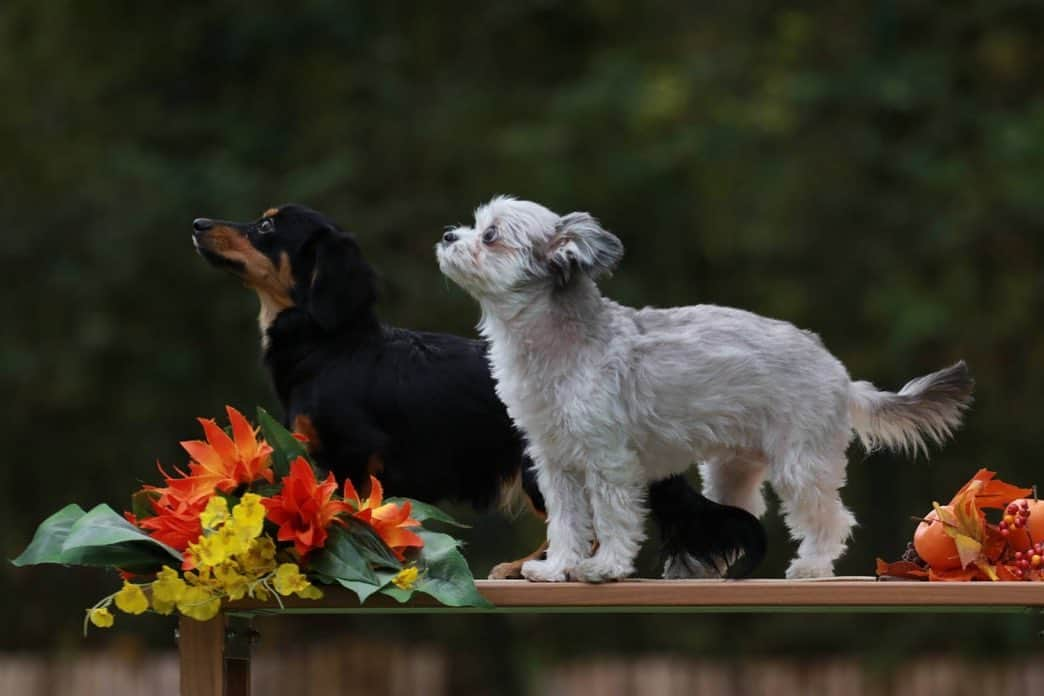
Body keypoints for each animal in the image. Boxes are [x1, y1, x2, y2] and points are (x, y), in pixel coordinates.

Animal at [194, 205, 768, 576]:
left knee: (589, 533)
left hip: (542, 467)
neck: (336, 346)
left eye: (267, 225)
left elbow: (354, 515)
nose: (198, 225)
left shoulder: (355, 454)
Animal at [436, 197, 973, 584]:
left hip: (800, 464)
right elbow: (567, 524)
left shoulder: (608, 463)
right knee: (742, 516)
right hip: (730, 470)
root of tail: (838, 371)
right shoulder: (557, 467)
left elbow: (611, 521)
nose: (447, 235)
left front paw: (605, 567)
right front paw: (556, 568)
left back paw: (812, 566)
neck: (560, 346)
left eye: (490, 235)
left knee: (831, 518)